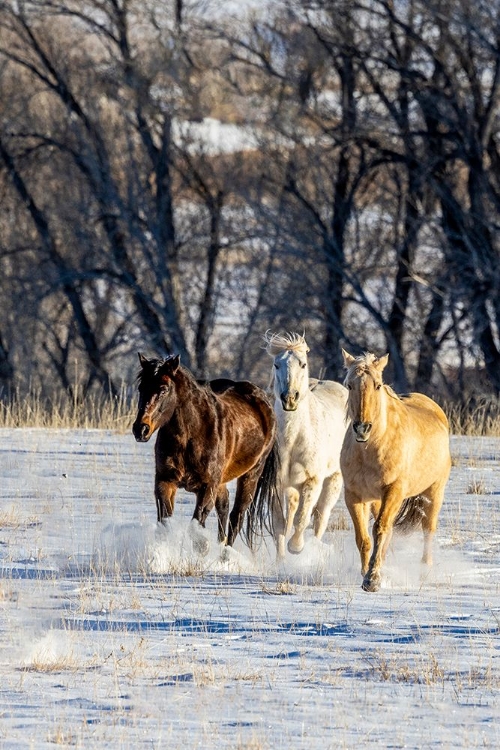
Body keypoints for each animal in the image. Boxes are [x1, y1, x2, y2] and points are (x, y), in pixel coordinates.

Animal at [133, 352, 280, 552]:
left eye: (163, 389)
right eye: (141, 388)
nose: (140, 429)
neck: (190, 436)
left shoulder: (207, 487)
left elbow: (197, 531)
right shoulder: (165, 481)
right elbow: (165, 525)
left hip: (251, 475)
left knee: (236, 517)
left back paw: (225, 555)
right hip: (222, 481)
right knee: (224, 508)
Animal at [262, 334, 348, 560]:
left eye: (303, 364)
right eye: (276, 365)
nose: (289, 398)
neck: (294, 439)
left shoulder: (313, 480)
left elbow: (303, 518)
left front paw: (296, 547)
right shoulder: (276, 483)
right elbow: (280, 523)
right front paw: (280, 560)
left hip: (334, 479)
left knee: (320, 516)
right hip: (292, 486)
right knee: (293, 509)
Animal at [342, 352, 452, 592]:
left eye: (377, 385)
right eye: (349, 385)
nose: (362, 428)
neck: (370, 449)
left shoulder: (393, 491)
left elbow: (380, 530)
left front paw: (372, 579)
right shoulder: (354, 495)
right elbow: (363, 537)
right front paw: (366, 573)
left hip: (434, 493)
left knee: (428, 530)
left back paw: (424, 571)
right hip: (377, 500)